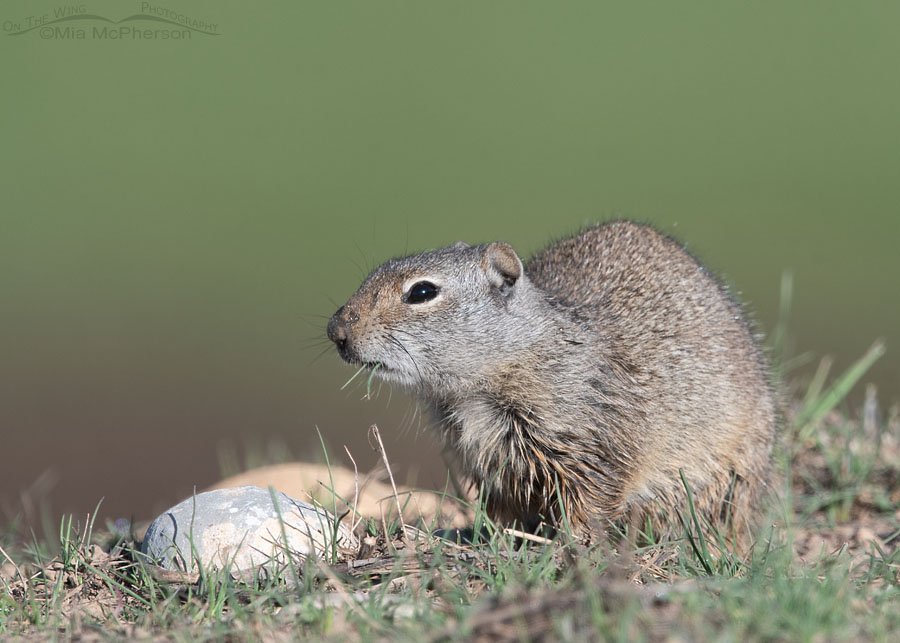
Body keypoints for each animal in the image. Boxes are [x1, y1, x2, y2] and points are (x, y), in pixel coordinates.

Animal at [327, 221, 776, 546]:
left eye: (421, 292)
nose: (336, 331)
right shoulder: (482, 458)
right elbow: (503, 507)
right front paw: (500, 541)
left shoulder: (586, 439)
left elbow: (590, 500)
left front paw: (571, 546)